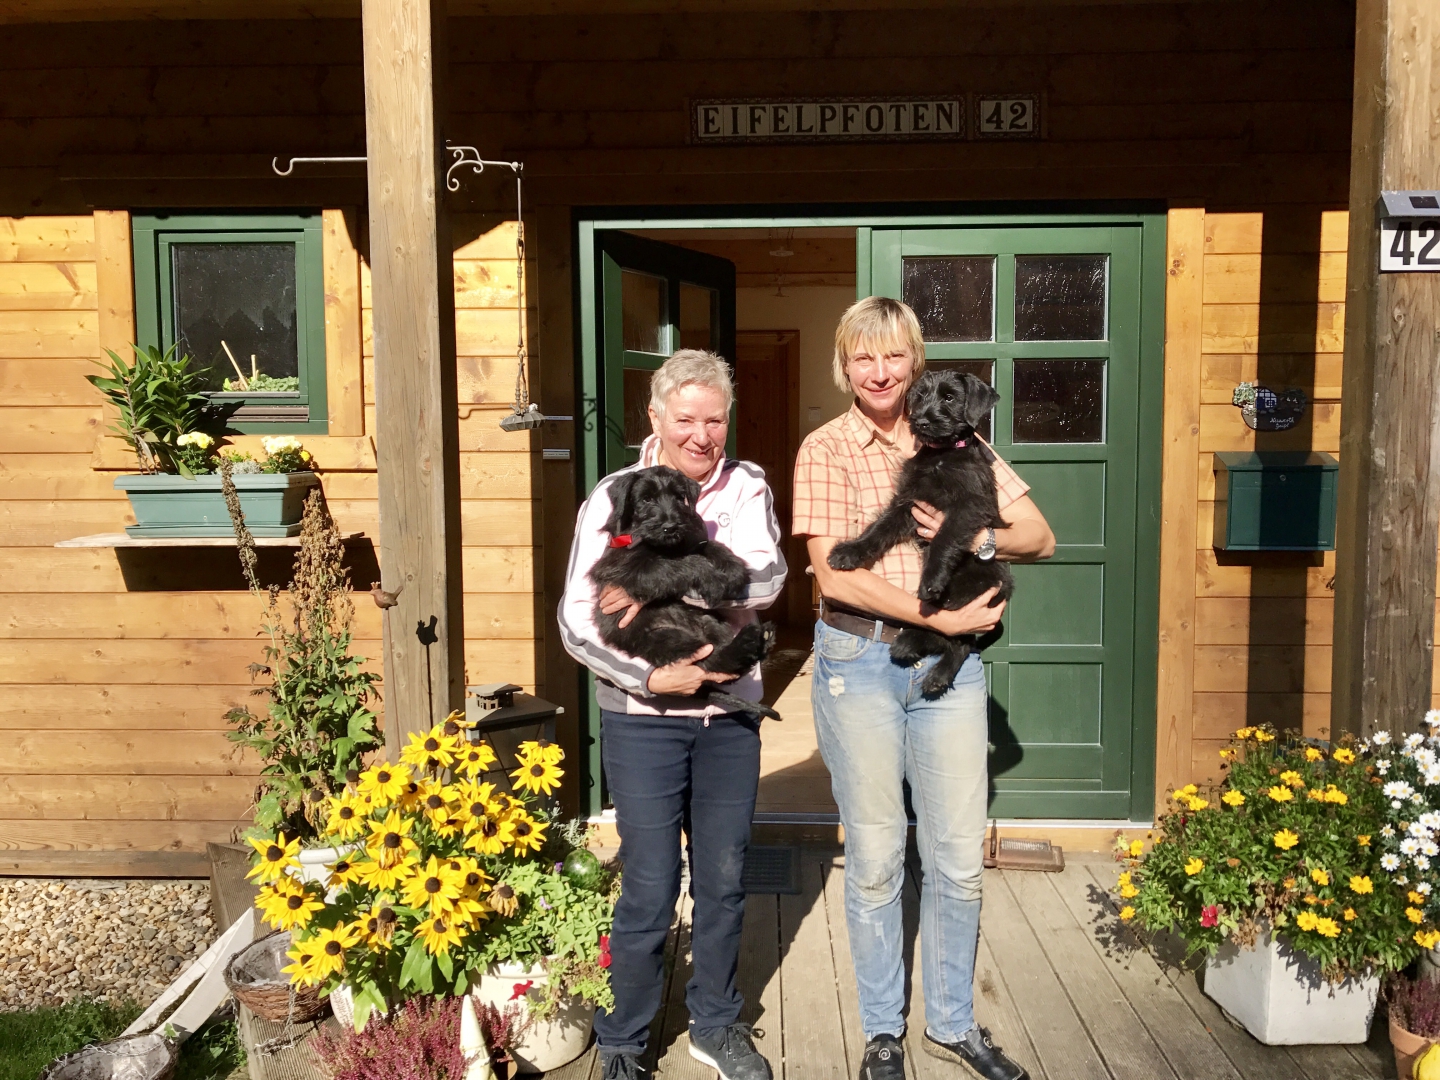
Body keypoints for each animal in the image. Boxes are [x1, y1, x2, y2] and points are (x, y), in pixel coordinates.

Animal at [589, 466, 780, 721]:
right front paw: (713, 580)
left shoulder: (685, 542)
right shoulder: (634, 569)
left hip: (709, 622)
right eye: (646, 499)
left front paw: (733, 569)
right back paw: (743, 645)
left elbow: (705, 545)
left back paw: (760, 642)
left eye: (680, 497)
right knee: (710, 662)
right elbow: (684, 563)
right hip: (664, 639)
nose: (670, 526)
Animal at [827, 370, 1013, 698]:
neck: (942, 456)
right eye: (920, 396)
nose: (922, 421)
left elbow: (944, 538)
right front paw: (850, 551)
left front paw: (930, 579)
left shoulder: (968, 506)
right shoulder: (909, 502)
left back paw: (931, 666)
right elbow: (879, 528)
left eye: (950, 397)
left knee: (958, 640)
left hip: (969, 589)